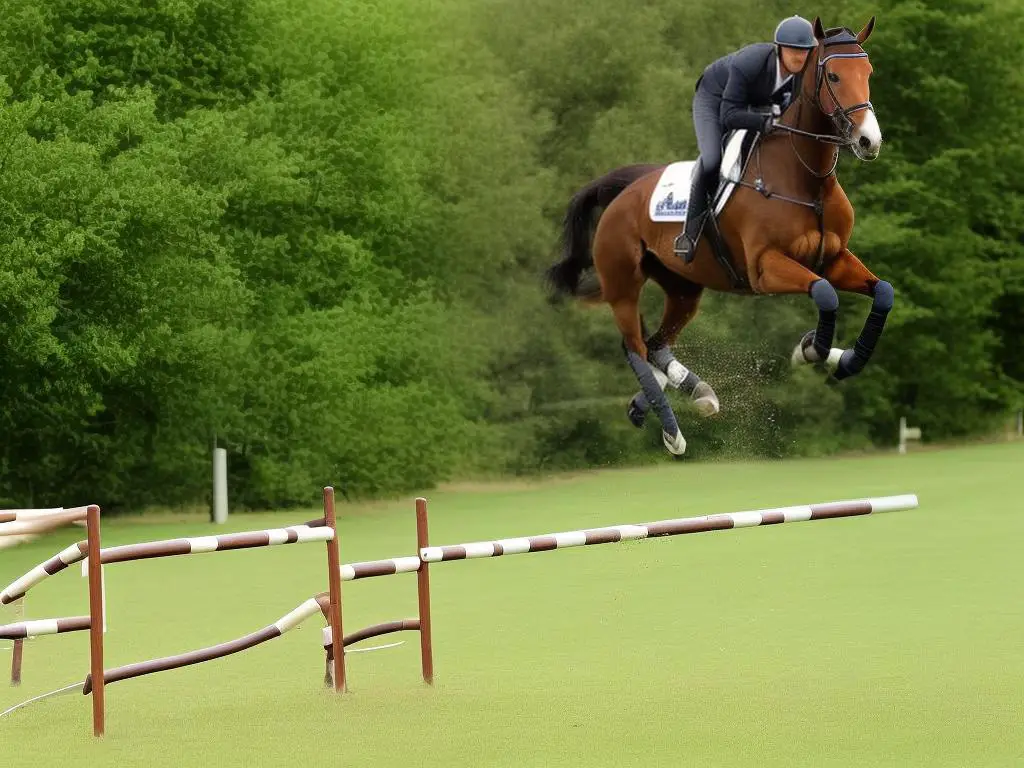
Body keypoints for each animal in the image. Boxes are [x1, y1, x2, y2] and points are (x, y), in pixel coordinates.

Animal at [544, 15, 888, 456]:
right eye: (833, 75)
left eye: (869, 73)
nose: (868, 141)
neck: (806, 180)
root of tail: (623, 189)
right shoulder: (766, 268)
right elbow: (826, 294)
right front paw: (812, 349)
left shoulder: (834, 258)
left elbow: (882, 293)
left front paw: (844, 359)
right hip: (623, 286)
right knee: (634, 347)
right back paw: (673, 431)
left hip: (684, 288)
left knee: (656, 343)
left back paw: (693, 393)